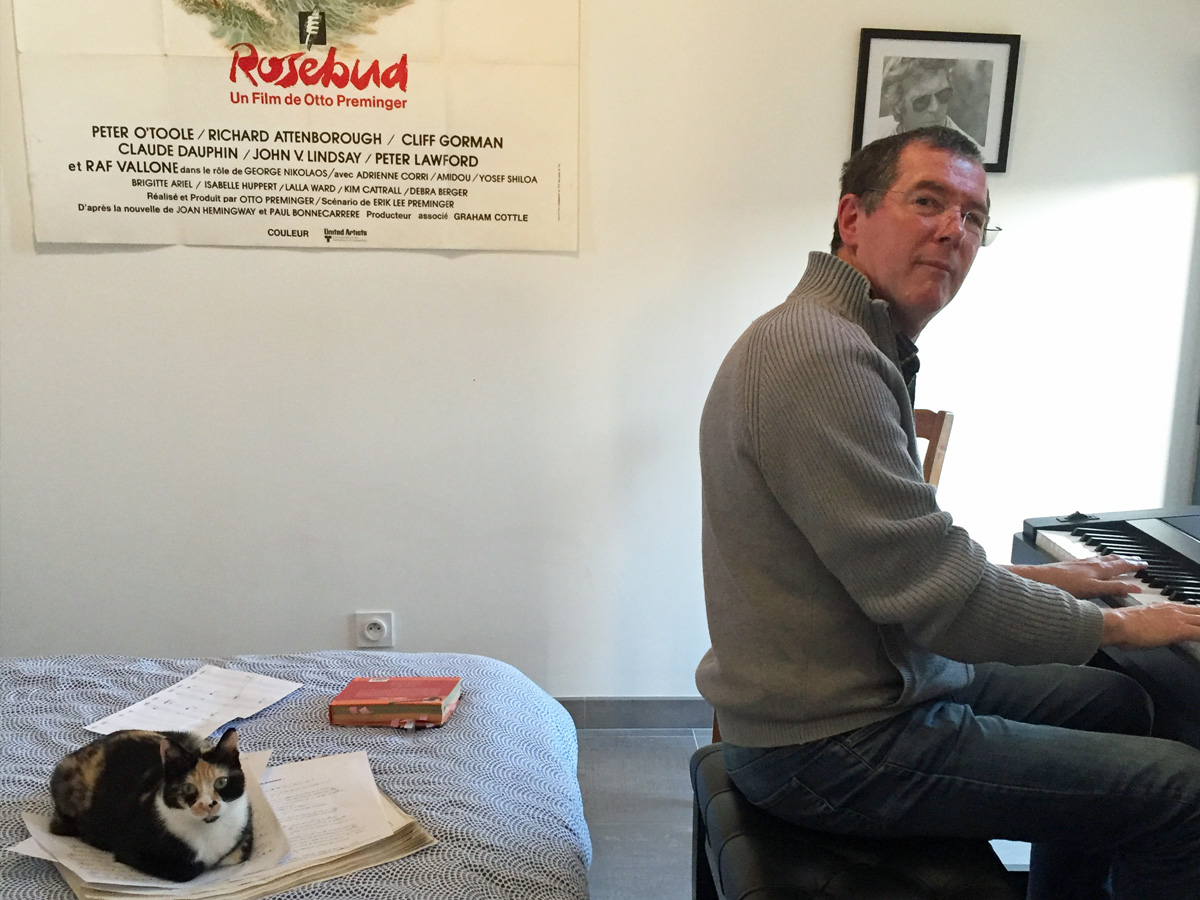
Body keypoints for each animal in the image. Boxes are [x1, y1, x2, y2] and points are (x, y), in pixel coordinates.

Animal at [49, 728, 254, 882]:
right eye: (188, 788)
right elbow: (187, 870)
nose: (208, 804)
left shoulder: (245, 834)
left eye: (221, 782)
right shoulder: (131, 850)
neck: (209, 833)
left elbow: (238, 854)